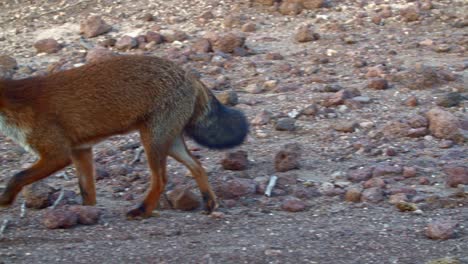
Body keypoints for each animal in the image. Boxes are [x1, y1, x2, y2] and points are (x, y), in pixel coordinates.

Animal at [0, 55, 249, 219]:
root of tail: (188, 73)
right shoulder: (80, 150)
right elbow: (87, 191)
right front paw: (86, 212)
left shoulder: (57, 154)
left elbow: (17, 176)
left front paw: (5, 200)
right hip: (169, 143)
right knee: (197, 165)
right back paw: (209, 202)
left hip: (153, 141)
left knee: (161, 179)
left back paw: (143, 210)